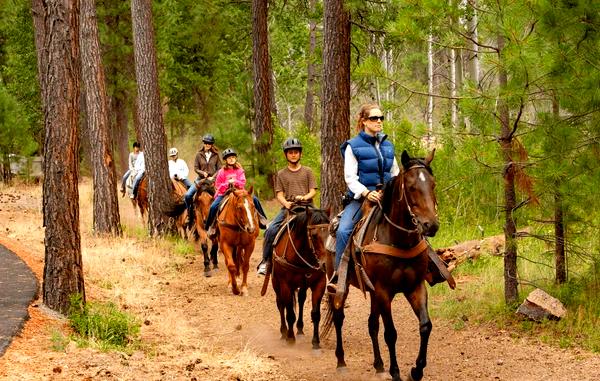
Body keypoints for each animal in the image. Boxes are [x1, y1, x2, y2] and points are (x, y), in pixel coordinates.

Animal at [270, 205, 330, 348]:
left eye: (331, 233)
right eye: (313, 235)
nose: (325, 264)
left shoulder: (319, 284)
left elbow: (316, 314)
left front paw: (316, 342)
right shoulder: (285, 284)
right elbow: (290, 313)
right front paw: (290, 339)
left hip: (302, 284)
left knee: (301, 299)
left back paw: (300, 329)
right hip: (276, 283)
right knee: (280, 304)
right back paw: (284, 332)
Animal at [324, 150, 440, 380]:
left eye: (432, 185)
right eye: (411, 187)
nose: (430, 225)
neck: (398, 240)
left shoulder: (415, 288)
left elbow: (425, 326)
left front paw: (416, 370)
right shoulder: (384, 291)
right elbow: (391, 333)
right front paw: (395, 372)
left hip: (373, 293)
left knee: (372, 324)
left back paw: (378, 365)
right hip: (341, 286)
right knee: (339, 317)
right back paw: (341, 361)